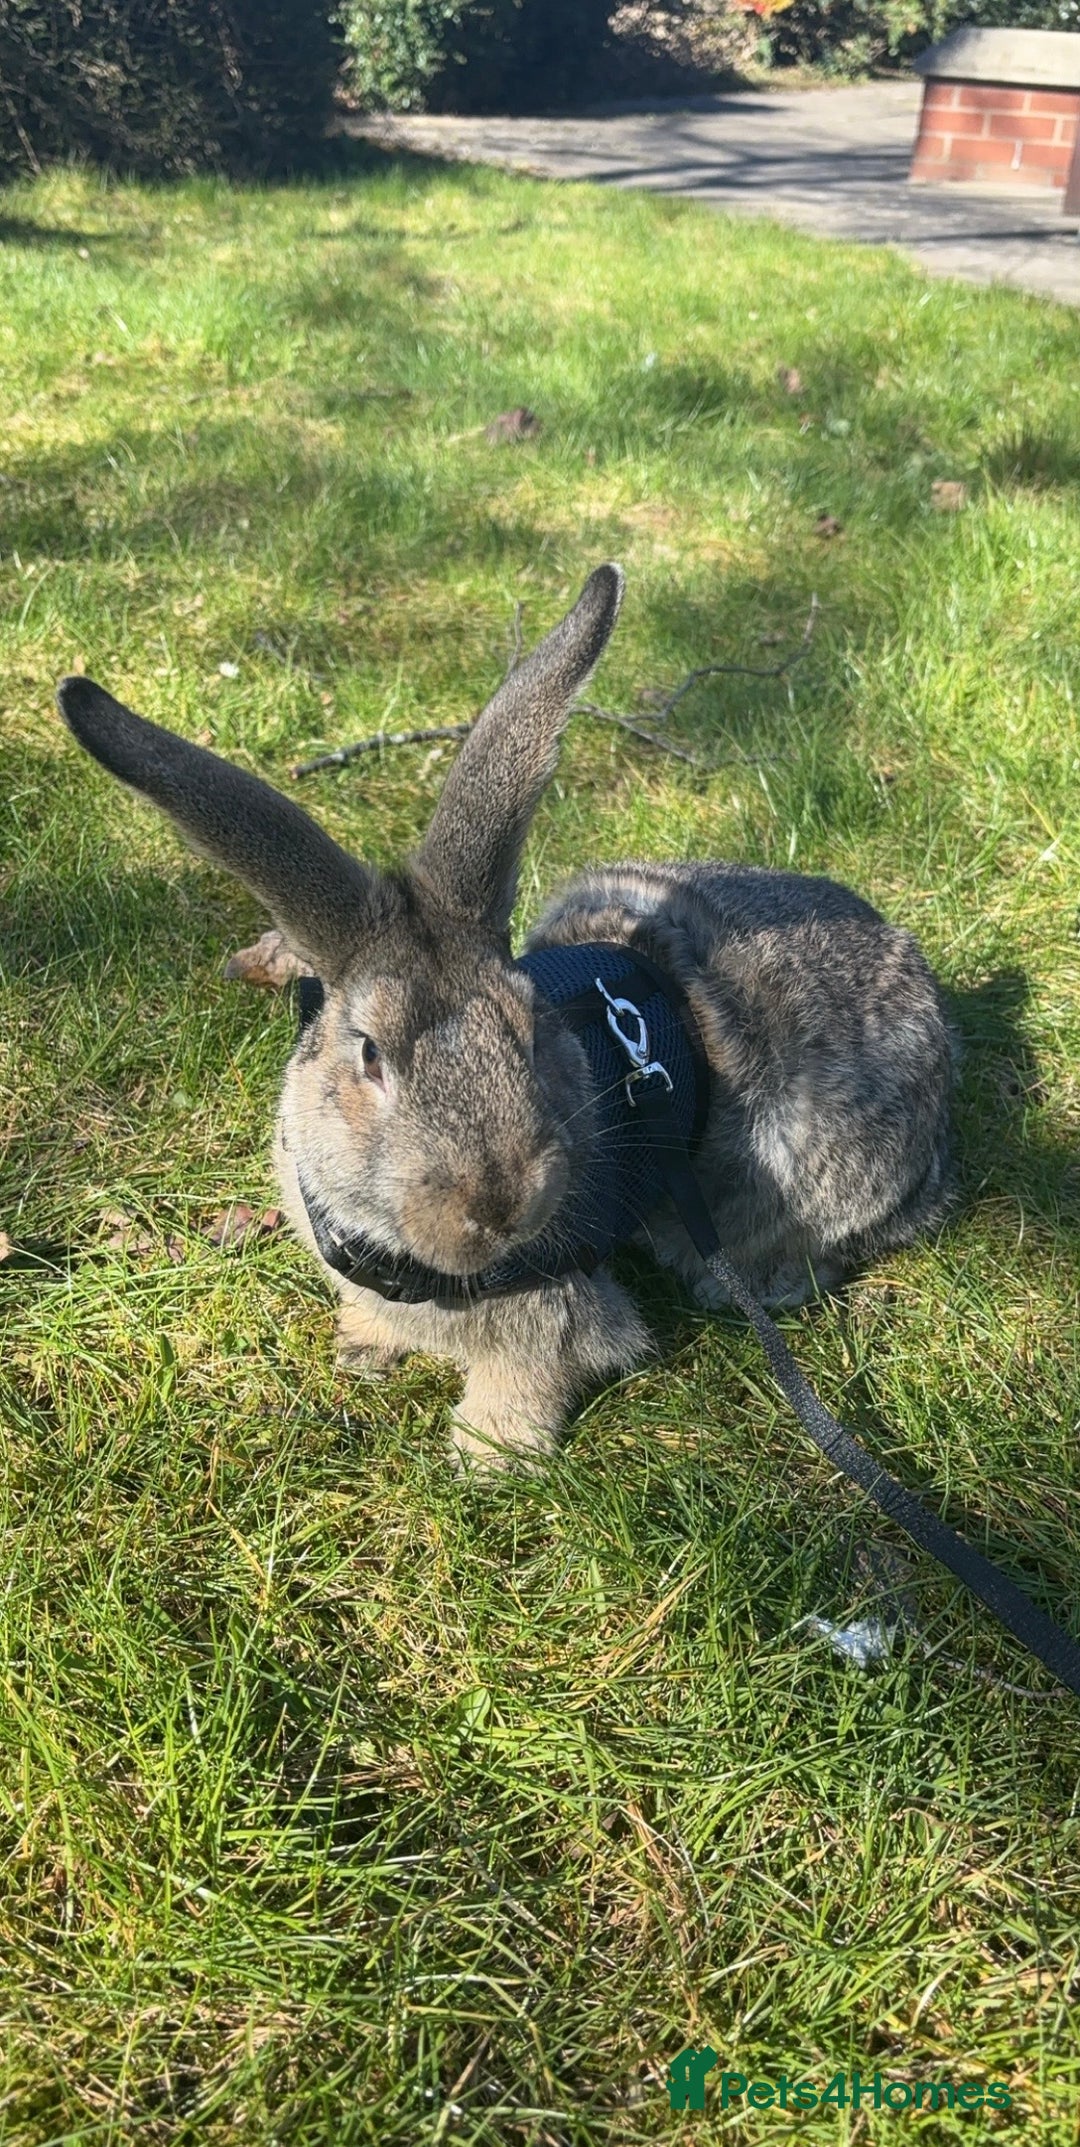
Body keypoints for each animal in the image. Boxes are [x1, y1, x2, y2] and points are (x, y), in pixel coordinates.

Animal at [57, 564, 953, 1471]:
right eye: (370, 1055)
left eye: (529, 1029)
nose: (504, 1205)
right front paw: (364, 1347)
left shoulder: (552, 1312)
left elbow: (531, 1371)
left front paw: (486, 1455)